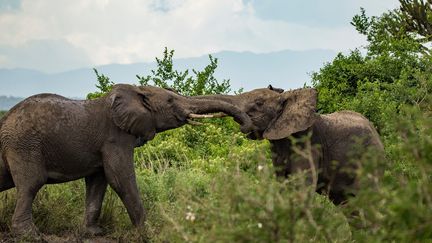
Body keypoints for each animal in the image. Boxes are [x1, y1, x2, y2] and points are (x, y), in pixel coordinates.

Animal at [0, 84, 253, 237]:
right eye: (171, 101)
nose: (246, 129)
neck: (137, 93)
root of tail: (5, 120)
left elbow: (98, 182)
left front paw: (94, 233)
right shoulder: (115, 138)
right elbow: (120, 178)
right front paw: (147, 233)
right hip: (25, 146)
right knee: (32, 184)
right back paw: (30, 235)